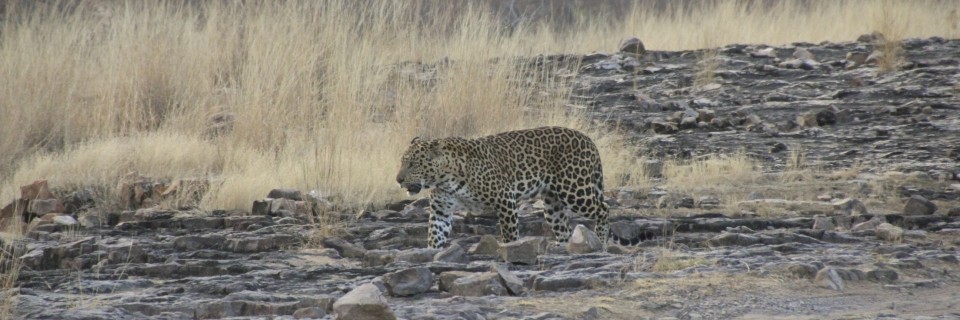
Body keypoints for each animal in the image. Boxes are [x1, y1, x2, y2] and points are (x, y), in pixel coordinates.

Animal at [394, 126, 648, 249]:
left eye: (413, 164)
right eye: (402, 161)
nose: (398, 180)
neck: (445, 178)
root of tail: (589, 139)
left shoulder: (505, 199)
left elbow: (509, 234)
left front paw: (510, 250)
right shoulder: (441, 210)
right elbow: (434, 236)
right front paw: (433, 252)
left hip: (575, 190)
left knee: (603, 208)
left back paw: (601, 240)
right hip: (553, 203)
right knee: (564, 228)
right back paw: (562, 246)